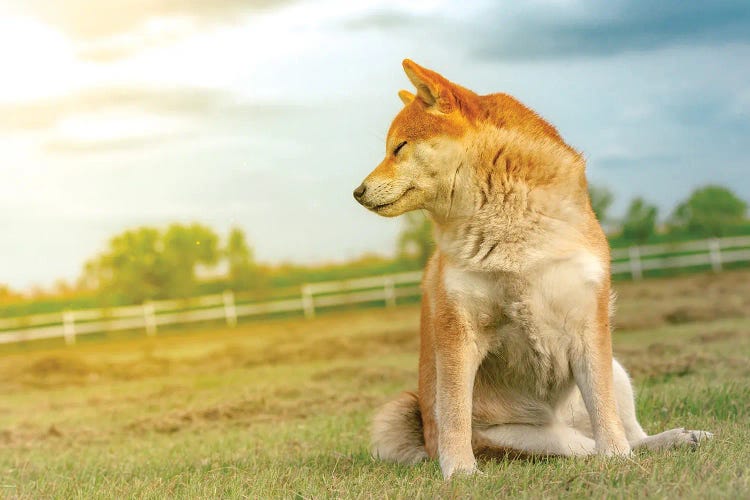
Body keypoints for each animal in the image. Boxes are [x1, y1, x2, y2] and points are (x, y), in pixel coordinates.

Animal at [356, 60, 712, 478]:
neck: (510, 224)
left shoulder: (588, 320)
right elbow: (455, 414)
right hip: (529, 438)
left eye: (398, 148)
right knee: (579, 447)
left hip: (617, 371)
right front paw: (460, 472)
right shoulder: (457, 329)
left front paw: (617, 458)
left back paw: (673, 439)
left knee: (629, 433)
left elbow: (604, 407)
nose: (358, 191)